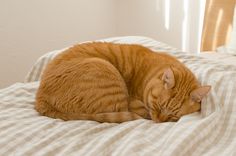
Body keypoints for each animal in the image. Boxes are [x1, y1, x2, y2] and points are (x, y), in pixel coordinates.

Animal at [35, 42, 210, 122]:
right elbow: (141, 110)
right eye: (158, 106)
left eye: (173, 116)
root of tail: (40, 98)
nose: (158, 121)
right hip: (107, 73)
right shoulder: (135, 103)